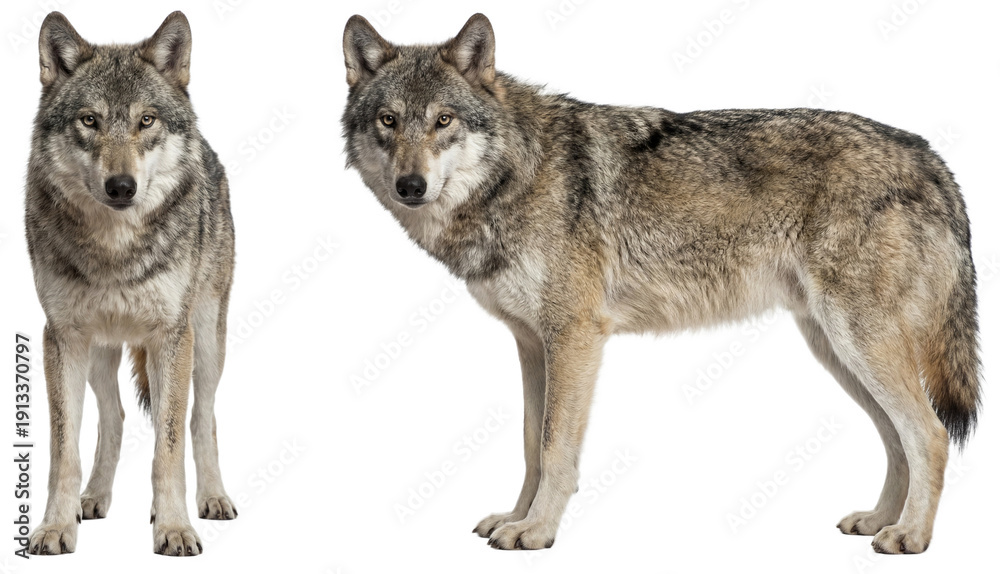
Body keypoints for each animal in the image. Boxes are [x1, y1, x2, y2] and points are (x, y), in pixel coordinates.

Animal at [25, 12, 237, 556]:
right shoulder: (61, 337)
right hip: (101, 352)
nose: (121, 187)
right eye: (89, 120)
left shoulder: (171, 337)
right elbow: (64, 450)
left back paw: (213, 499)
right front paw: (55, 527)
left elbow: (168, 448)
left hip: (206, 343)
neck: (115, 250)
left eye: (146, 121)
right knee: (115, 417)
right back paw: (94, 499)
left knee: (202, 418)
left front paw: (175, 528)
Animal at [342, 13, 980, 553]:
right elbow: (529, 445)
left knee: (929, 434)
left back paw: (910, 537)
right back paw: (880, 520)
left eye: (443, 120)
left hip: (859, 343)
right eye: (388, 121)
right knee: (897, 439)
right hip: (837, 350)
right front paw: (516, 517)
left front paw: (538, 531)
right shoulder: (531, 344)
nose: (410, 186)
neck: (514, 176)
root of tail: (932, 158)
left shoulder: (575, 338)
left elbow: (555, 448)